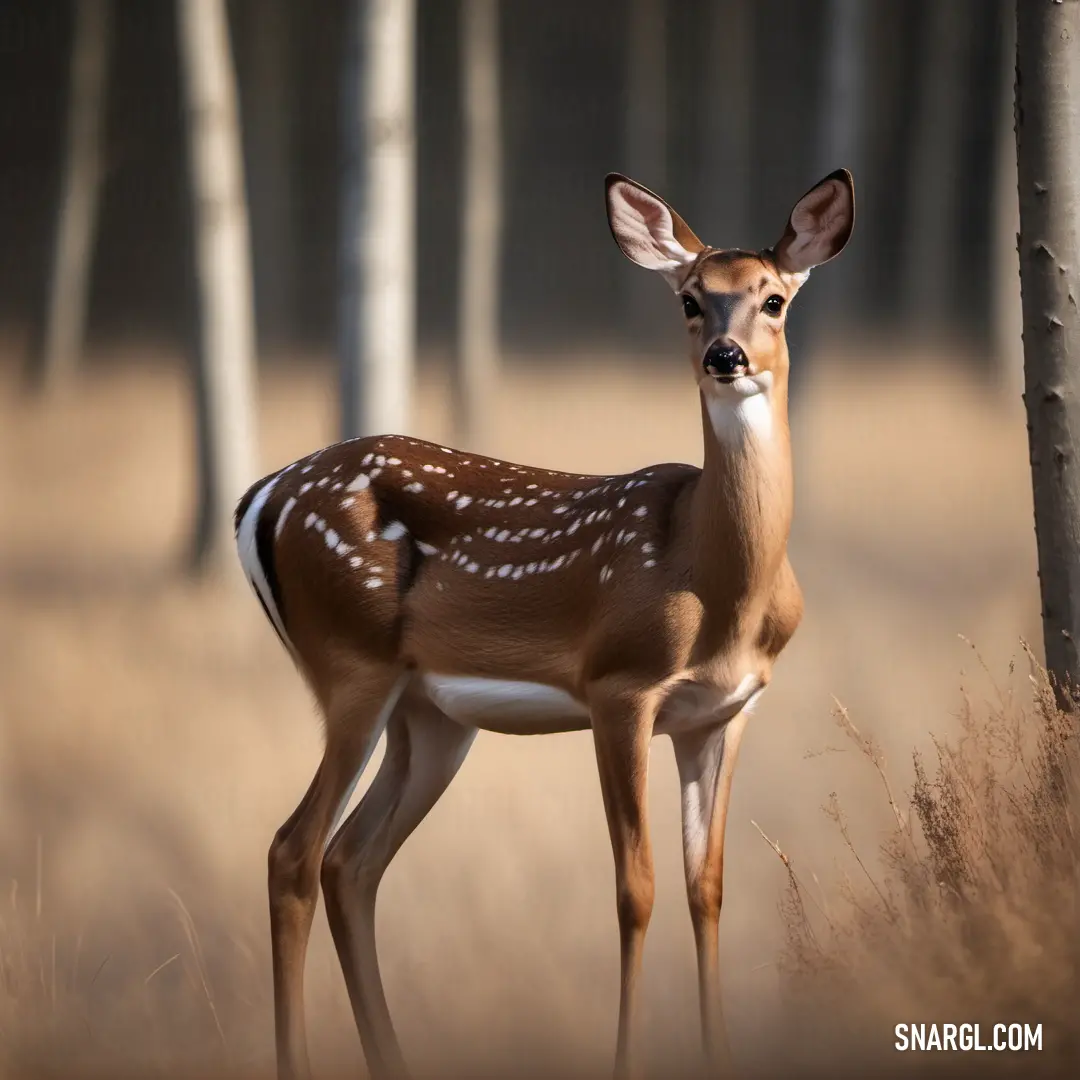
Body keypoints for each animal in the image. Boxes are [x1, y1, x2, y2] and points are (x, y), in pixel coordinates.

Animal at [236, 164, 851, 1075]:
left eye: (772, 299)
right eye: (690, 299)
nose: (725, 355)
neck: (717, 580)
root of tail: (262, 495)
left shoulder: (727, 710)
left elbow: (706, 886)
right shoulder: (619, 685)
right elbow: (635, 889)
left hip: (431, 717)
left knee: (350, 861)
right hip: (351, 661)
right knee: (293, 850)